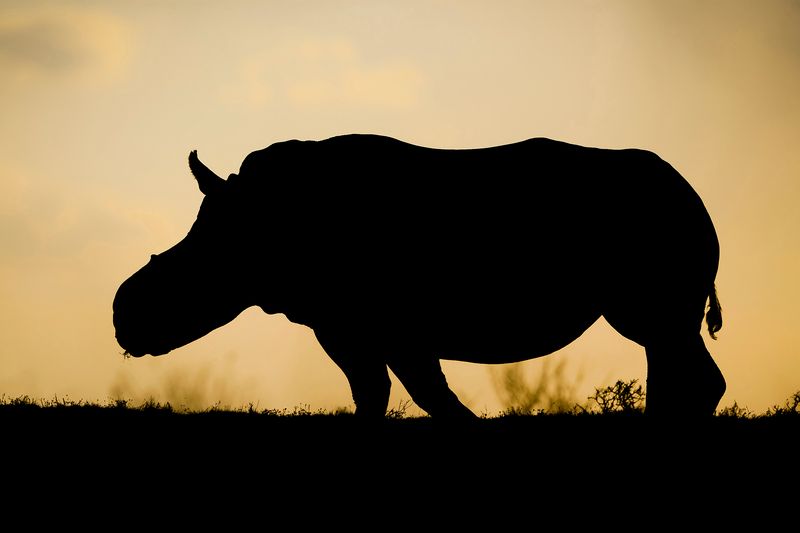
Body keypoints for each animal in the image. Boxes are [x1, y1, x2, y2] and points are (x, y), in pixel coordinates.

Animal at [113, 134, 726, 417]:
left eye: (194, 268)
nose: (122, 315)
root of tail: (697, 197)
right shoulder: (355, 328)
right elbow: (390, 393)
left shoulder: (375, 326)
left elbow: (413, 392)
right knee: (666, 345)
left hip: (652, 258)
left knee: (662, 337)